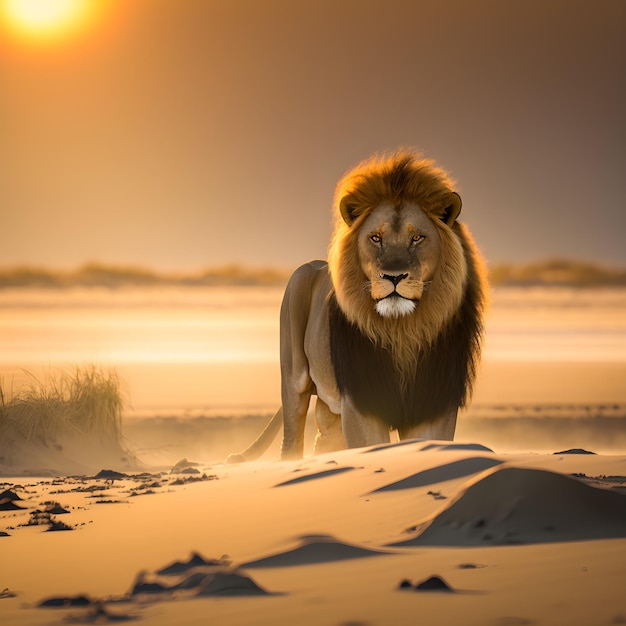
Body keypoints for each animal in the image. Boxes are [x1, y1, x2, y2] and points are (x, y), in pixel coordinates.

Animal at [229, 150, 488, 464]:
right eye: (375, 237)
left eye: (417, 237)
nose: (394, 276)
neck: (403, 332)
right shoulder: (361, 403)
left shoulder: (434, 402)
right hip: (294, 373)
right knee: (292, 437)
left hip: (330, 412)